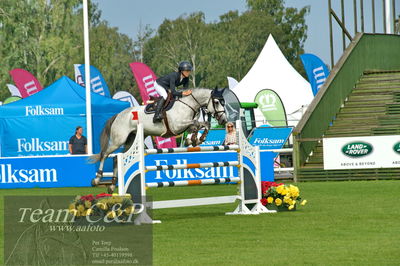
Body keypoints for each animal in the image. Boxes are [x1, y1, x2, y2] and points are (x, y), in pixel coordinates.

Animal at [91, 88, 228, 191]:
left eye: (224, 102)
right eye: (216, 102)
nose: (224, 120)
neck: (187, 105)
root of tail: (118, 115)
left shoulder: (185, 127)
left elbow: (204, 124)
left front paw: (196, 139)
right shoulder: (177, 126)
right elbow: (196, 124)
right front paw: (194, 139)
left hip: (130, 141)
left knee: (116, 158)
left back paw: (112, 185)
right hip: (118, 140)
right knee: (104, 154)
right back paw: (97, 179)